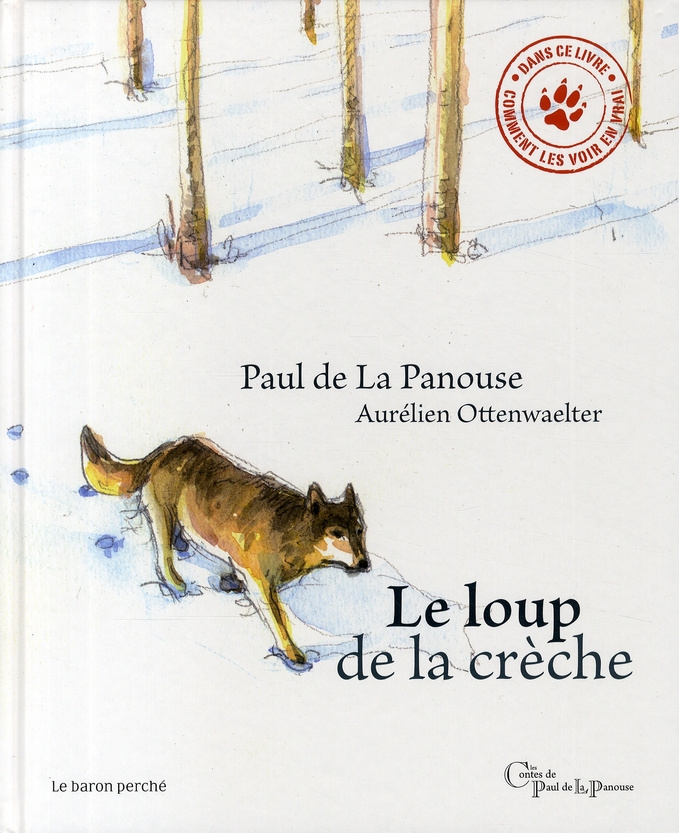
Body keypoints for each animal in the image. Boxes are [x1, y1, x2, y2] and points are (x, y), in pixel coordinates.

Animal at [80, 426, 370, 666]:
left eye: (359, 531)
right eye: (337, 534)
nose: (365, 563)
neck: (291, 533)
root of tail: (170, 447)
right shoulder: (260, 583)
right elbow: (279, 621)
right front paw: (293, 654)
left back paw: (188, 549)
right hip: (163, 515)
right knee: (163, 556)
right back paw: (176, 582)